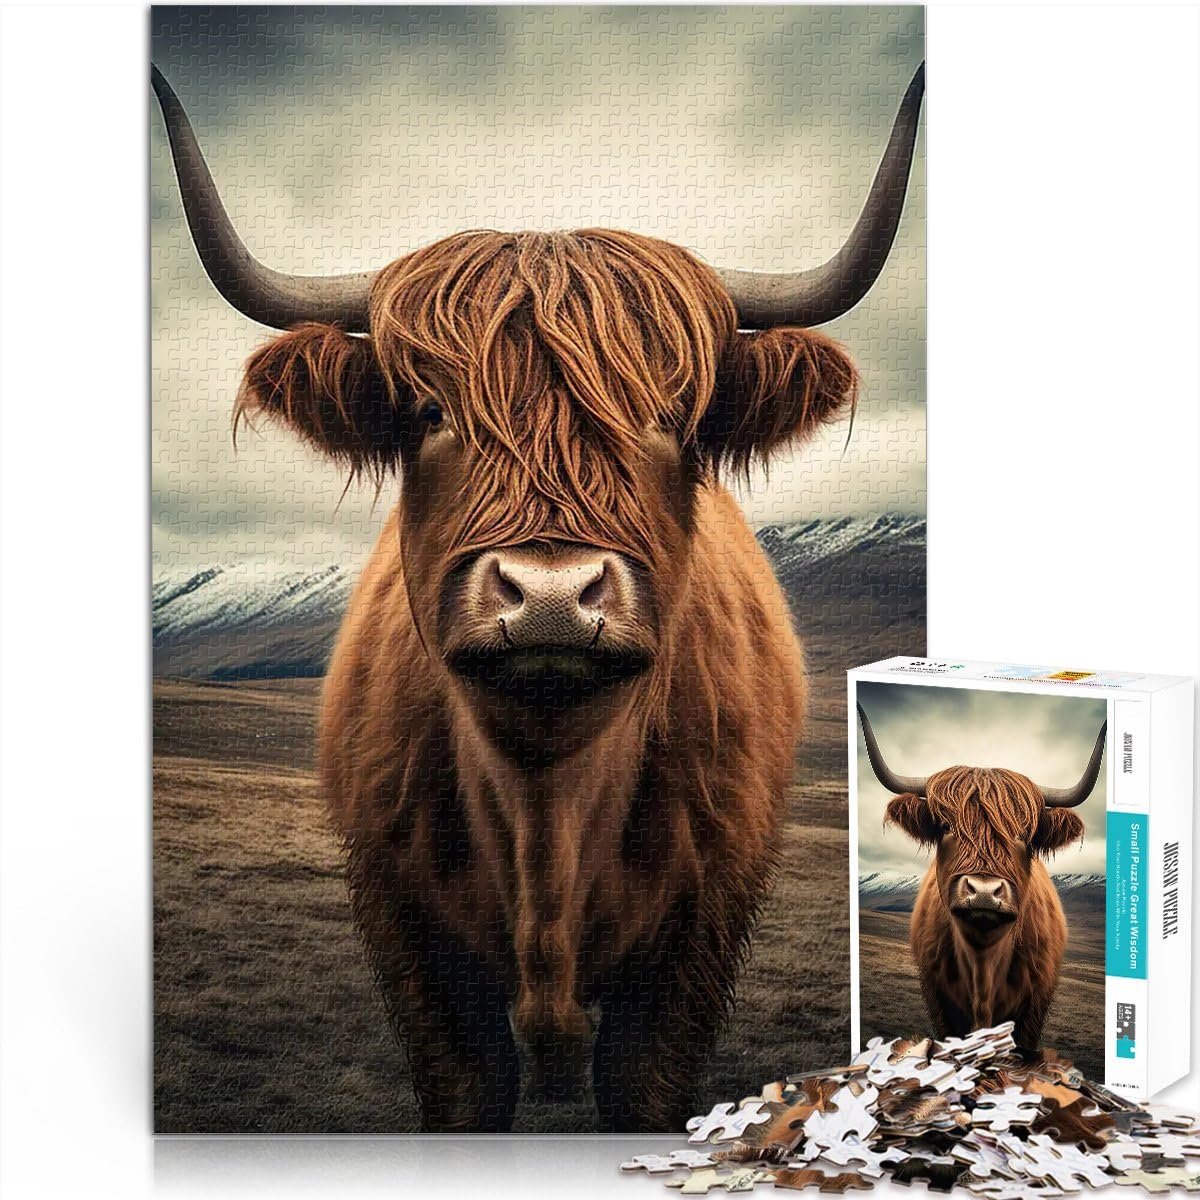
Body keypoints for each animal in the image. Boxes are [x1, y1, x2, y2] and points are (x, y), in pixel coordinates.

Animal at [152, 64, 924, 1132]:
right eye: (430, 410)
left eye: (670, 416)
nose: (553, 594)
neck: (545, 802)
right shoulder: (413, 944)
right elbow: (468, 1090)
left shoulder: (695, 943)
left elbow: (641, 1089)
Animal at [856, 704, 1107, 1050]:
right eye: (945, 827)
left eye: (1025, 836)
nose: (985, 891)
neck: (982, 964)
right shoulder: (939, 1002)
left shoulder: (1033, 1008)